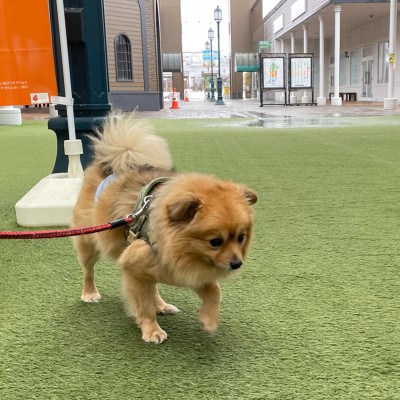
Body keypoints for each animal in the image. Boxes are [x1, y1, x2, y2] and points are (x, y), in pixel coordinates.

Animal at [71, 112, 256, 344]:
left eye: (240, 238)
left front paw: (209, 320)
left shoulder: (184, 270)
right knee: (88, 270)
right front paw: (152, 330)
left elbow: (214, 290)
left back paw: (162, 305)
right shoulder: (133, 267)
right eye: (216, 242)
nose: (236, 263)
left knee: (153, 286)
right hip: (89, 241)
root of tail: (113, 163)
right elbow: (143, 305)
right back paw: (90, 293)